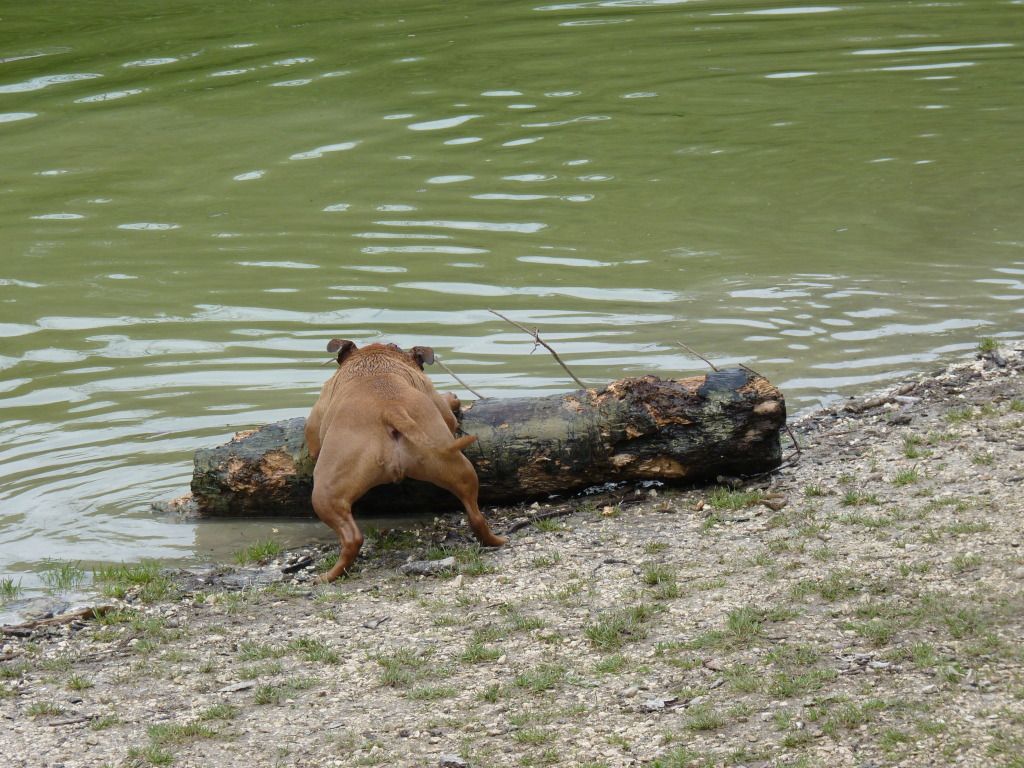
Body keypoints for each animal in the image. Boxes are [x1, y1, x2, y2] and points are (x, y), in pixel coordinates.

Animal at [307, 339, 507, 585]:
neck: (375, 360)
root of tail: (390, 409)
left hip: (324, 493)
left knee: (352, 538)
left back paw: (329, 575)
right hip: (458, 469)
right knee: (476, 515)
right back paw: (495, 540)